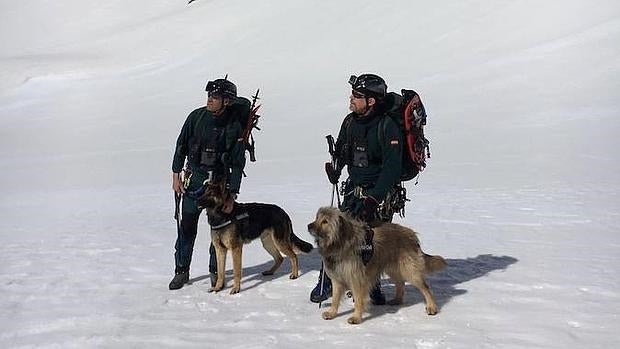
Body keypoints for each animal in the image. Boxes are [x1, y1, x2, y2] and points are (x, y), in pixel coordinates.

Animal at [306, 207, 446, 324]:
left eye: (325, 221)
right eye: (317, 217)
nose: (309, 226)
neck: (339, 242)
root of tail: (411, 234)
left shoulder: (357, 279)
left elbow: (358, 300)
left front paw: (356, 317)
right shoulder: (337, 279)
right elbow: (335, 299)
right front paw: (332, 313)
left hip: (409, 269)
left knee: (425, 287)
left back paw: (432, 307)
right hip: (393, 267)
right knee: (400, 283)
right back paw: (397, 300)